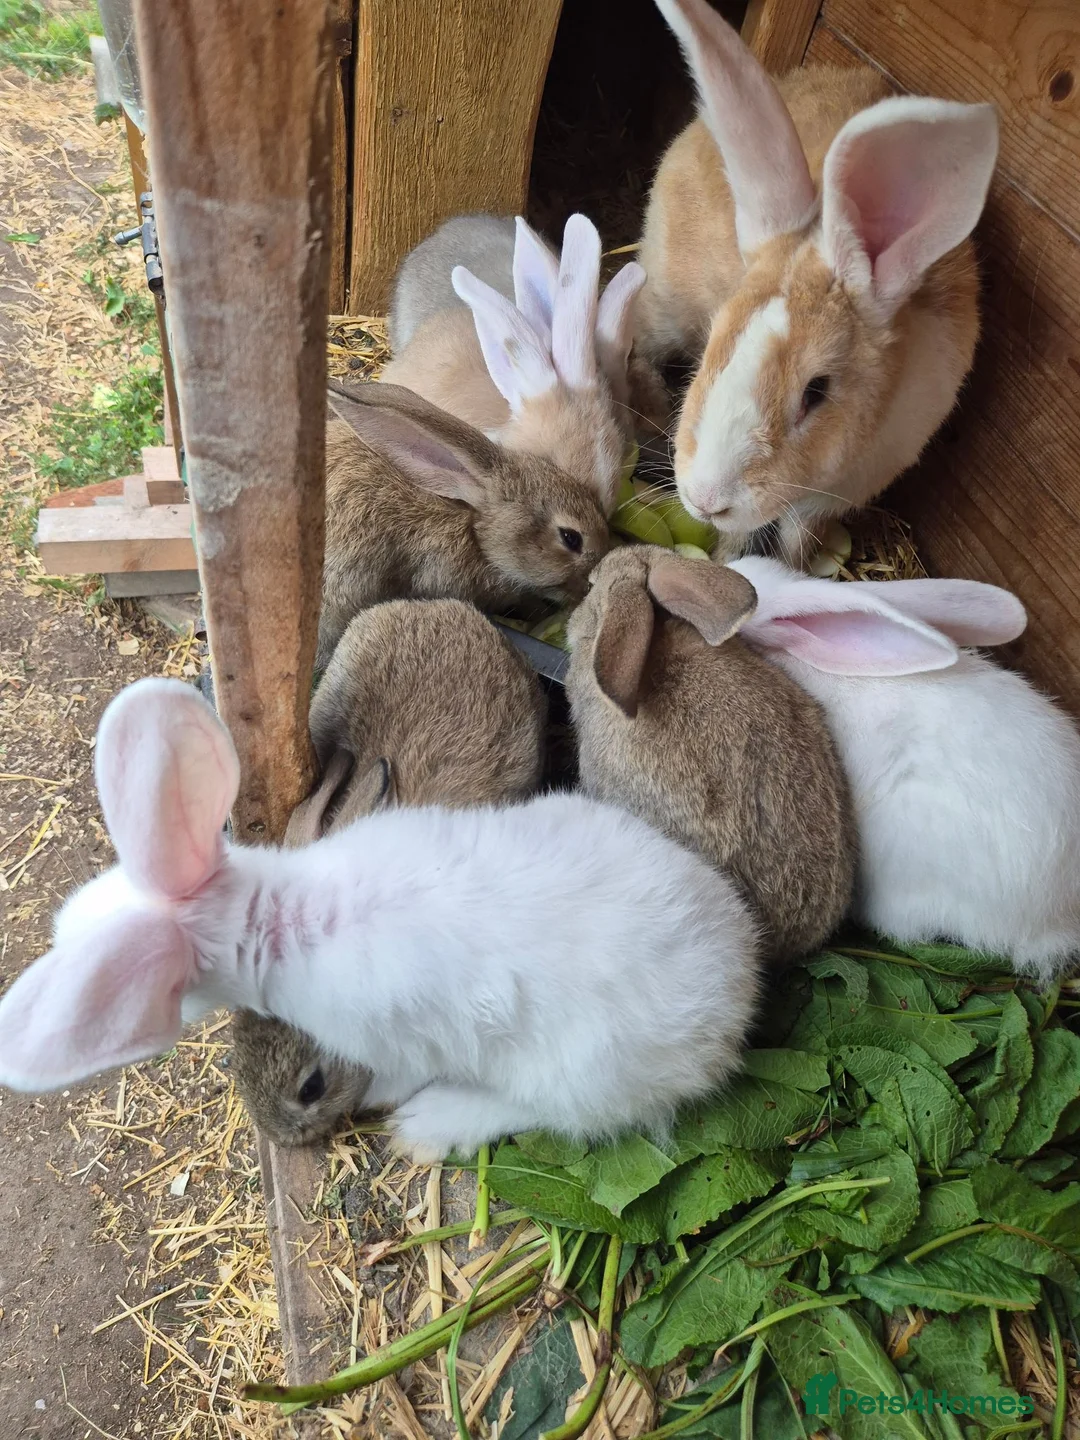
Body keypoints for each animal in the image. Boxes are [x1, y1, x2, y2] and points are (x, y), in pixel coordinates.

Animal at [0, 678, 762, 1162]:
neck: (276, 919)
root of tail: (737, 998)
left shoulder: (388, 1042)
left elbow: (389, 1072)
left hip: (578, 1074)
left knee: (554, 1114)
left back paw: (430, 1126)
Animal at [635, 0, 999, 565]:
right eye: (716, 339)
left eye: (817, 391)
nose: (705, 499)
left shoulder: (833, 497)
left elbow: (793, 538)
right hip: (662, 302)